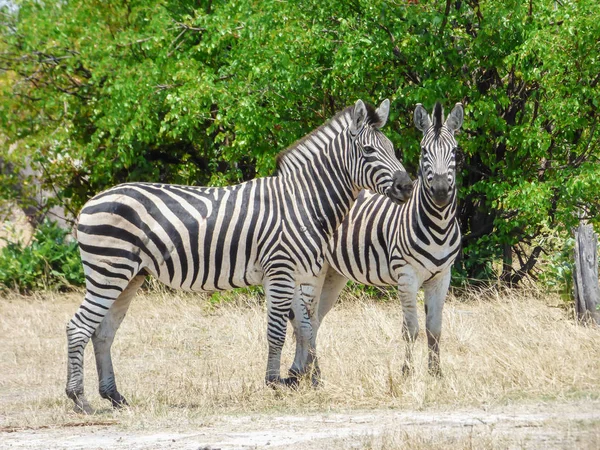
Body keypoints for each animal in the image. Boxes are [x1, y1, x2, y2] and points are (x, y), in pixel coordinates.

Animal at [65, 99, 412, 414]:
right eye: (368, 151)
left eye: (392, 148)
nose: (407, 186)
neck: (301, 202)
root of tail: (89, 203)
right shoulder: (280, 271)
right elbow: (278, 331)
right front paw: (274, 383)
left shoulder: (294, 275)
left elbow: (305, 327)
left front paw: (301, 380)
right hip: (109, 270)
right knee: (78, 326)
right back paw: (79, 400)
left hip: (130, 276)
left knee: (103, 332)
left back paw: (114, 396)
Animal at [288, 103, 462, 384]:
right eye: (423, 151)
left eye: (455, 151)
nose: (439, 192)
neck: (439, 225)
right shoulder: (406, 275)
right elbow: (411, 329)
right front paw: (407, 374)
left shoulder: (442, 276)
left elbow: (434, 330)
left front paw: (436, 375)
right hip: (310, 273)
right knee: (301, 321)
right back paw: (307, 374)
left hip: (333, 274)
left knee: (313, 322)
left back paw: (310, 373)